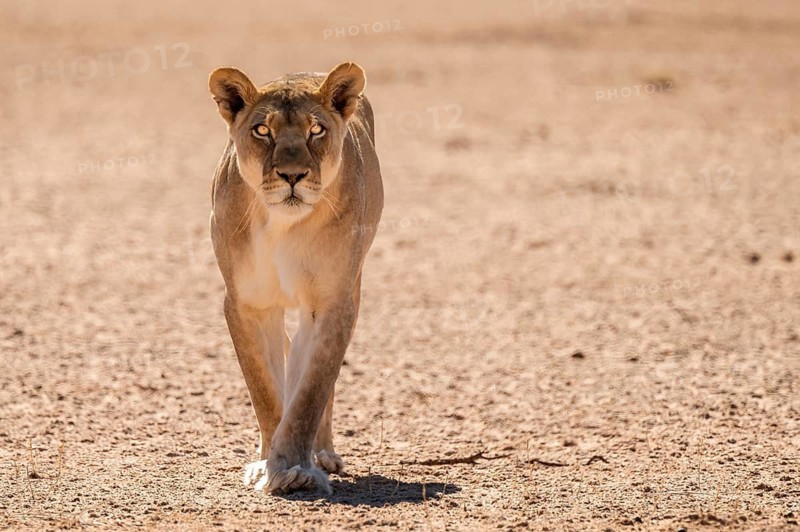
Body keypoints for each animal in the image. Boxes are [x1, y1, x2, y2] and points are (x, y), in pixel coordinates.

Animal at [207, 62, 383, 494]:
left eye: (315, 130)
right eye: (262, 130)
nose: (292, 175)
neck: (282, 226)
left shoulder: (330, 302)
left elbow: (310, 391)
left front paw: (295, 467)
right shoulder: (247, 303)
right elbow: (265, 390)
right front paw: (266, 464)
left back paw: (323, 452)